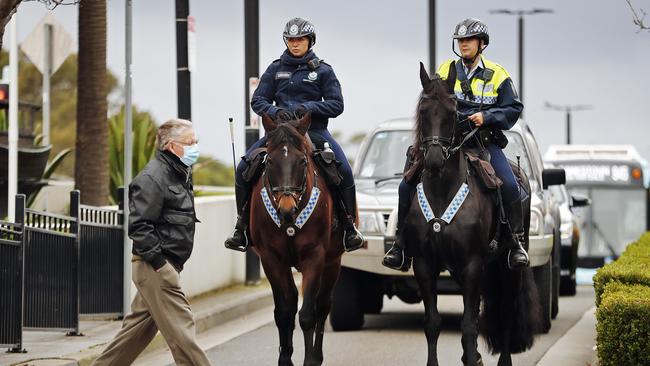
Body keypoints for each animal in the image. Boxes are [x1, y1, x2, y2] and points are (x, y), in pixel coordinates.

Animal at [248, 113, 344, 366]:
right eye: (270, 162)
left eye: (302, 161)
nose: (287, 209)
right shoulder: (271, 259)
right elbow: (283, 313)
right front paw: (285, 358)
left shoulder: (314, 257)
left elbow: (308, 315)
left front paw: (310, 359)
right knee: (290, 301)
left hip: (333, 262)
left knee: (322, 306)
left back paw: (317, 355)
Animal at [404, 61, 536, 364]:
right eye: (423, 110)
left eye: (453, 111)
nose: (434, 160)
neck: (442, 192)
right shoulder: (425, 265)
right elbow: (433, 323)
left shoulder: (472, 264)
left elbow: (468, 325)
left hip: (506, 268)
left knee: (507, 313)